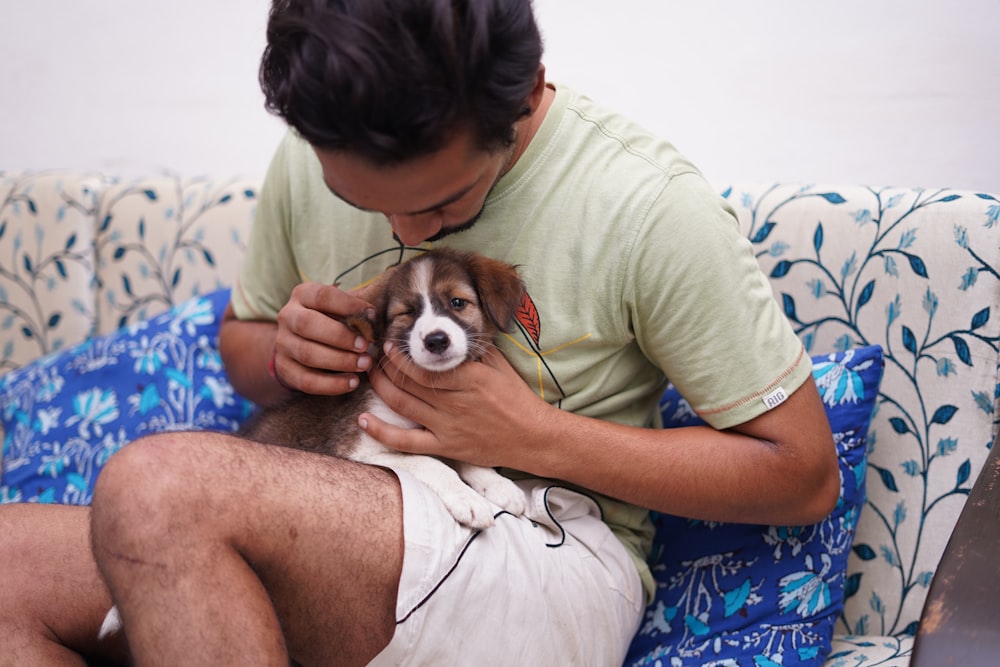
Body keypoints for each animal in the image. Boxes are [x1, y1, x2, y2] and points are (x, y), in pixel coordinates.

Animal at [97, 249, 528, 640]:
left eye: (458, 302)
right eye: (406, 314)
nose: (436, 339)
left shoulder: (449, 430)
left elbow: (468, 456)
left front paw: (500, 486)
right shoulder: (360, 446)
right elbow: (431, 462)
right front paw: (469, 499)